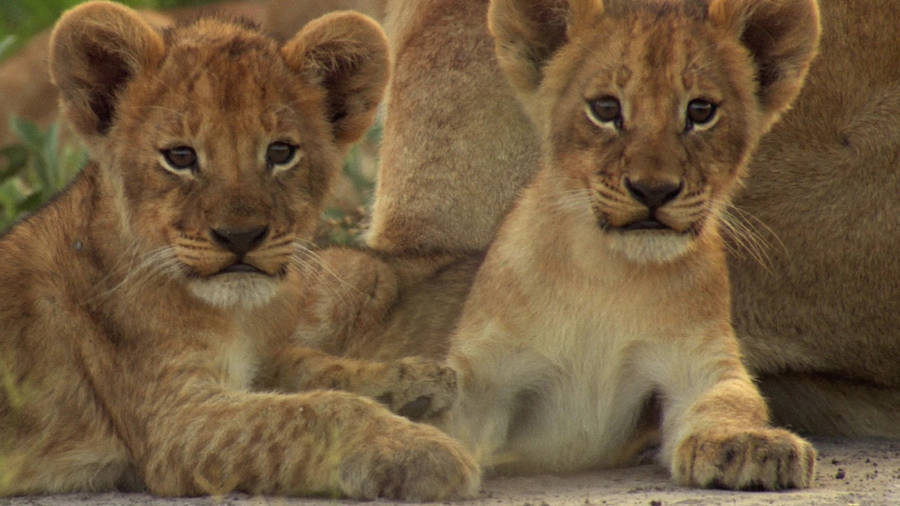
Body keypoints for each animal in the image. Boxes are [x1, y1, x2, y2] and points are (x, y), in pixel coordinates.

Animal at [0, 2, 479, 499]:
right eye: (180, 156)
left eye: (281, 152)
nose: (240, 237)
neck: (236, 314)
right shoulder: (176, 423)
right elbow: (311, 413)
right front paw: (423, 450)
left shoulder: (257, 362)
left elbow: (309, 366)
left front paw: (415, 378)